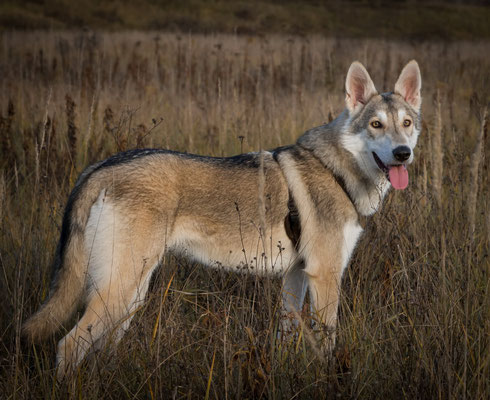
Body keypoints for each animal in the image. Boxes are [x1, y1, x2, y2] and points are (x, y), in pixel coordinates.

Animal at [23, 60, 422, 378]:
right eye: (375, 125)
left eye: (406, 123)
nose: (403, 153)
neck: (336, 170)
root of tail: (98, 169)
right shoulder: (325, 275)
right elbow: (327, 346)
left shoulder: (296, 277)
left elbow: (286, 338)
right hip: (121, 291)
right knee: (68, 345)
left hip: (129, 296)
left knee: (97, 348)